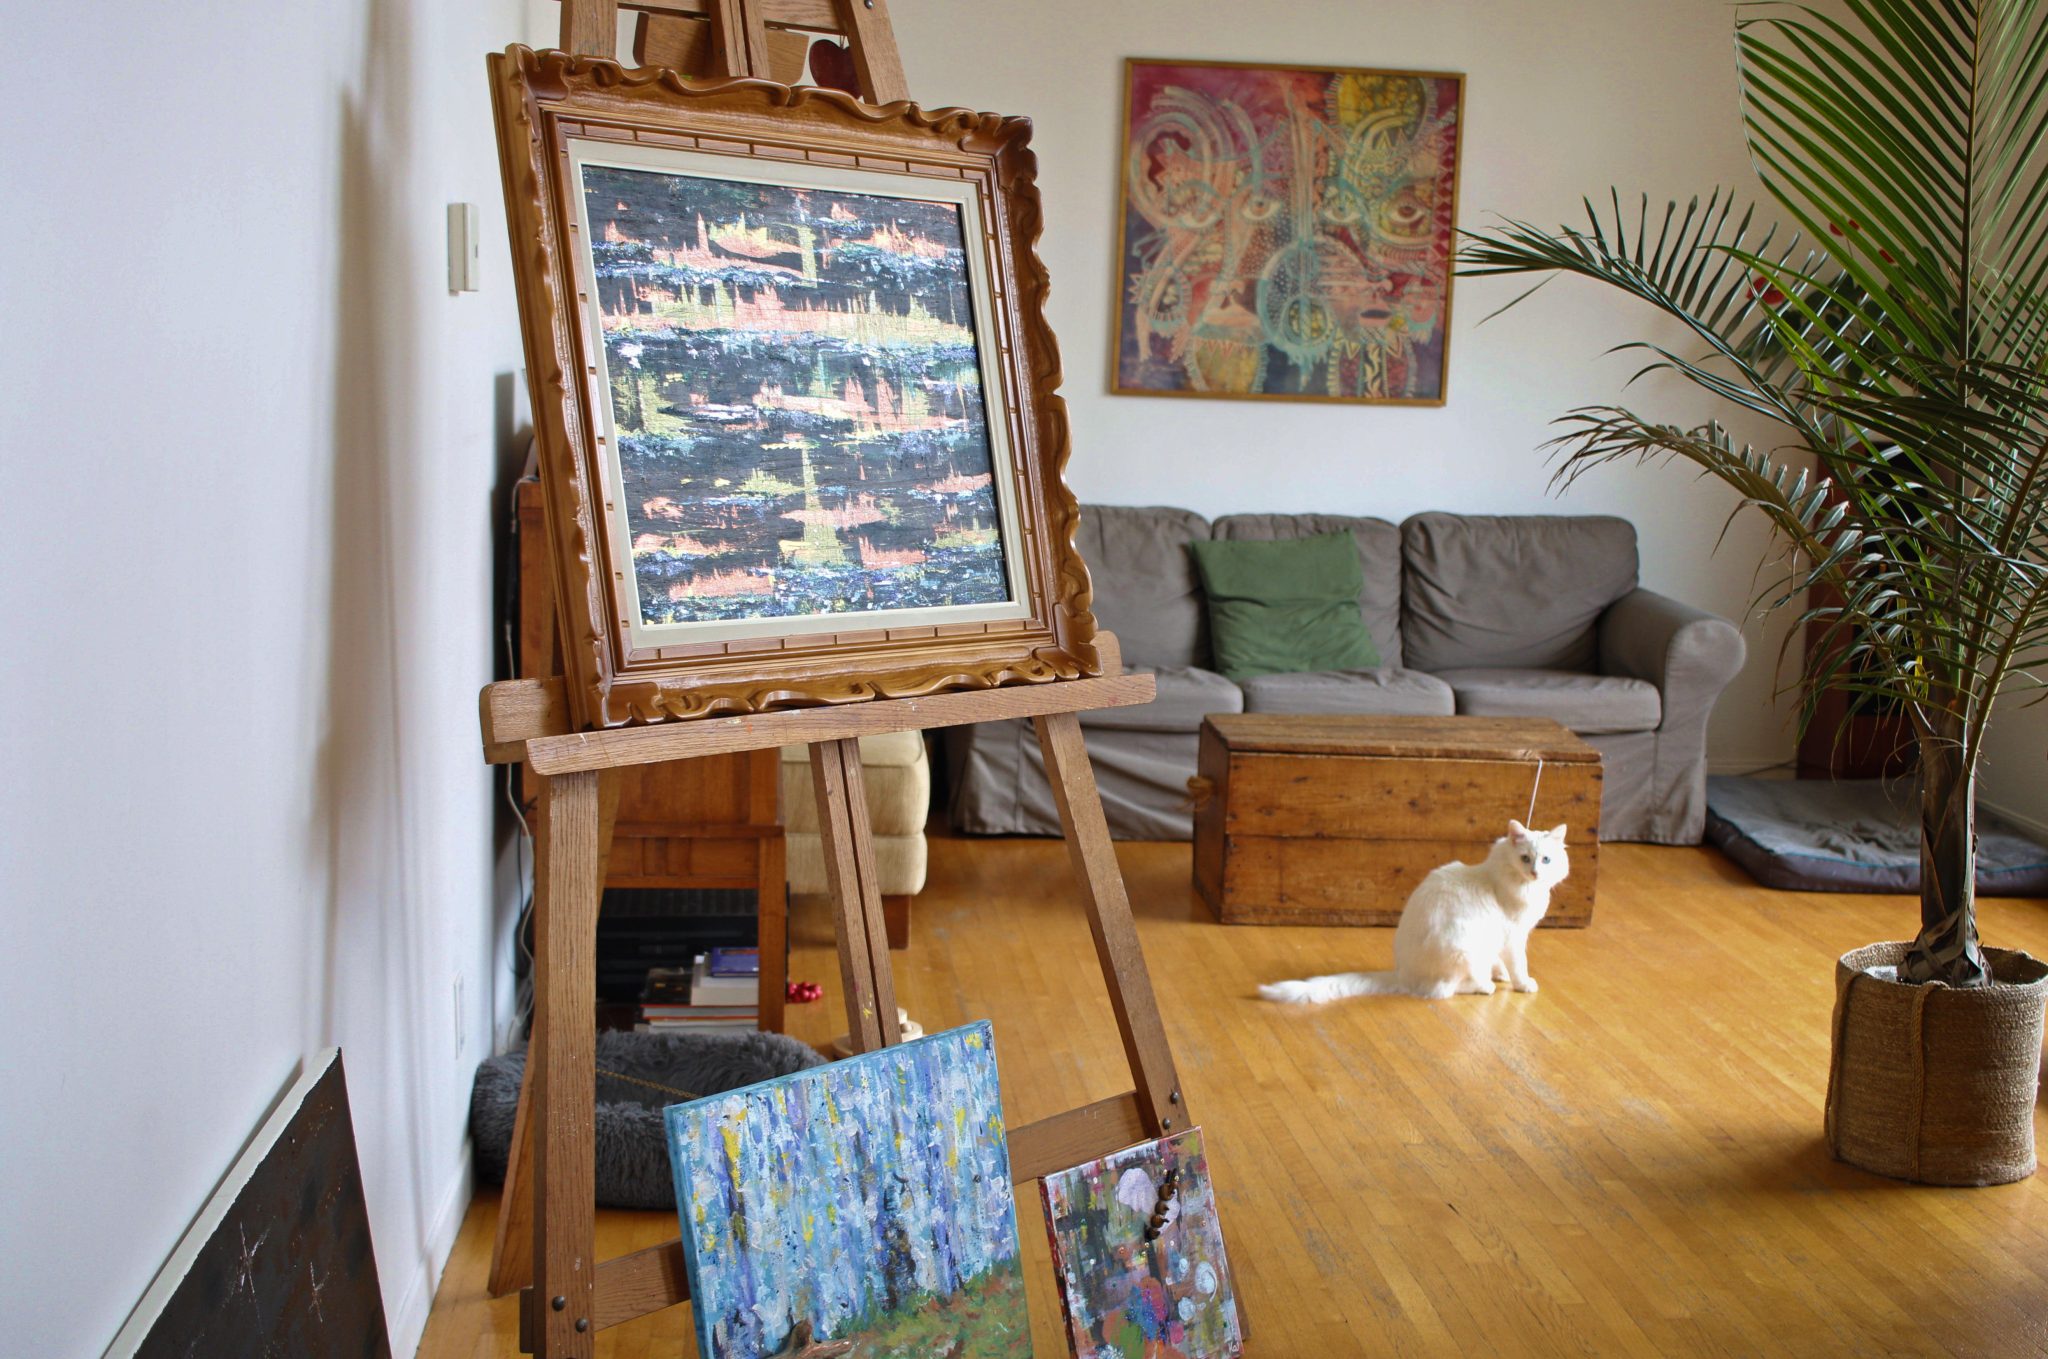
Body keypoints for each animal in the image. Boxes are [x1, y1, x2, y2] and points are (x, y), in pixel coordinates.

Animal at [1258, 821, 1571, 1003]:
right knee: (1447, 989)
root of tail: (1402, 975)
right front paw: (1522, 983)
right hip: (1461, 948)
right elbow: (1519, 965)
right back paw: (1484, 986)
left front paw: (1502, 974)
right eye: (1525, 858)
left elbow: (1500, 962)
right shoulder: (1514, 936)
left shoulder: (1503, 940)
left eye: (1546, 859)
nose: (1535, 872)